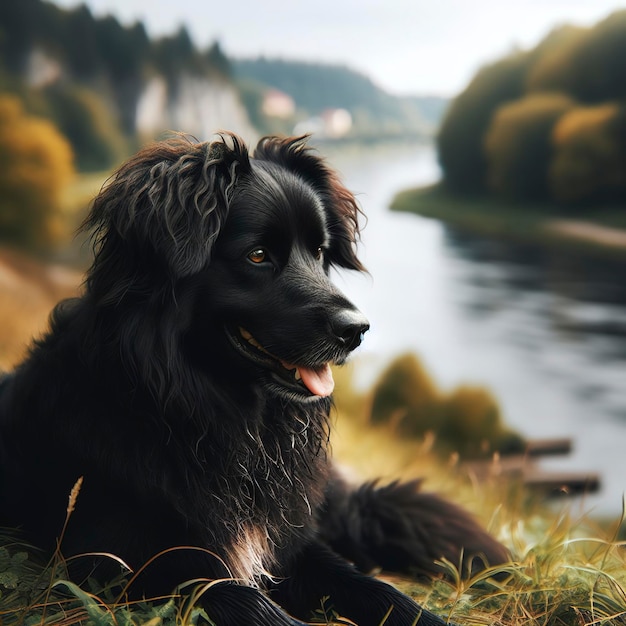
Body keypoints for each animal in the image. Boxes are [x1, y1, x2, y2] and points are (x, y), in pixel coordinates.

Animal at [0, 136, 508, 624]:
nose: (358, 330)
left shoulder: (291, 544)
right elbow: (251, 604)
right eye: (258, 255)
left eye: (319, 251)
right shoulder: (123, 560)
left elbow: (376, 590)